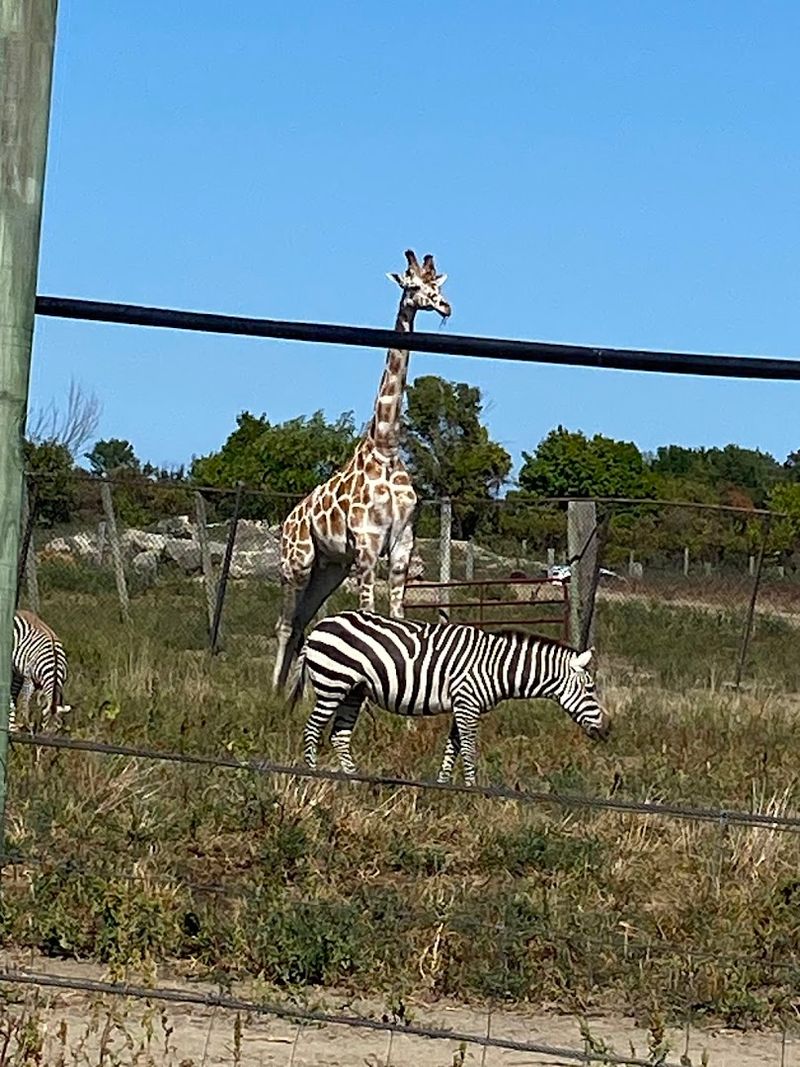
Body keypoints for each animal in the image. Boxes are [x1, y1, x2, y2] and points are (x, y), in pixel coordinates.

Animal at [289, 610, 610, 786]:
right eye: (590, 688)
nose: (607, 731)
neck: (496, 667)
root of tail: (317, 628)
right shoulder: (468, 703)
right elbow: (467, 748)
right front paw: (474, 791)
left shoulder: (462, 704)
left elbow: (452, 748)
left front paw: (445, 789)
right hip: (332, 684)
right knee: (312, 729)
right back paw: (313, 775)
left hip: (353, 691)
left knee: (339, 735)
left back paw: (354, 781)